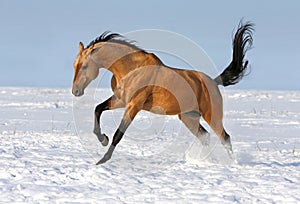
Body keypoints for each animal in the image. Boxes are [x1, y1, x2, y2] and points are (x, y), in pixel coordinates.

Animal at [72, 21, 253, 164]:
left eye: (85, 66)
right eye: (75, 65)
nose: (75, 91)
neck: (132, 69)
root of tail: (214, 82)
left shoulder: (134, 105)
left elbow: (118, 133)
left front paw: (103, 159)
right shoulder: (120, 100)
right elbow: (98, 109)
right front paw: (103, 139)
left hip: (212, 116)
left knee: (225, 138)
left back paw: (232, 164)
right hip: (189, 117)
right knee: (206, 137)